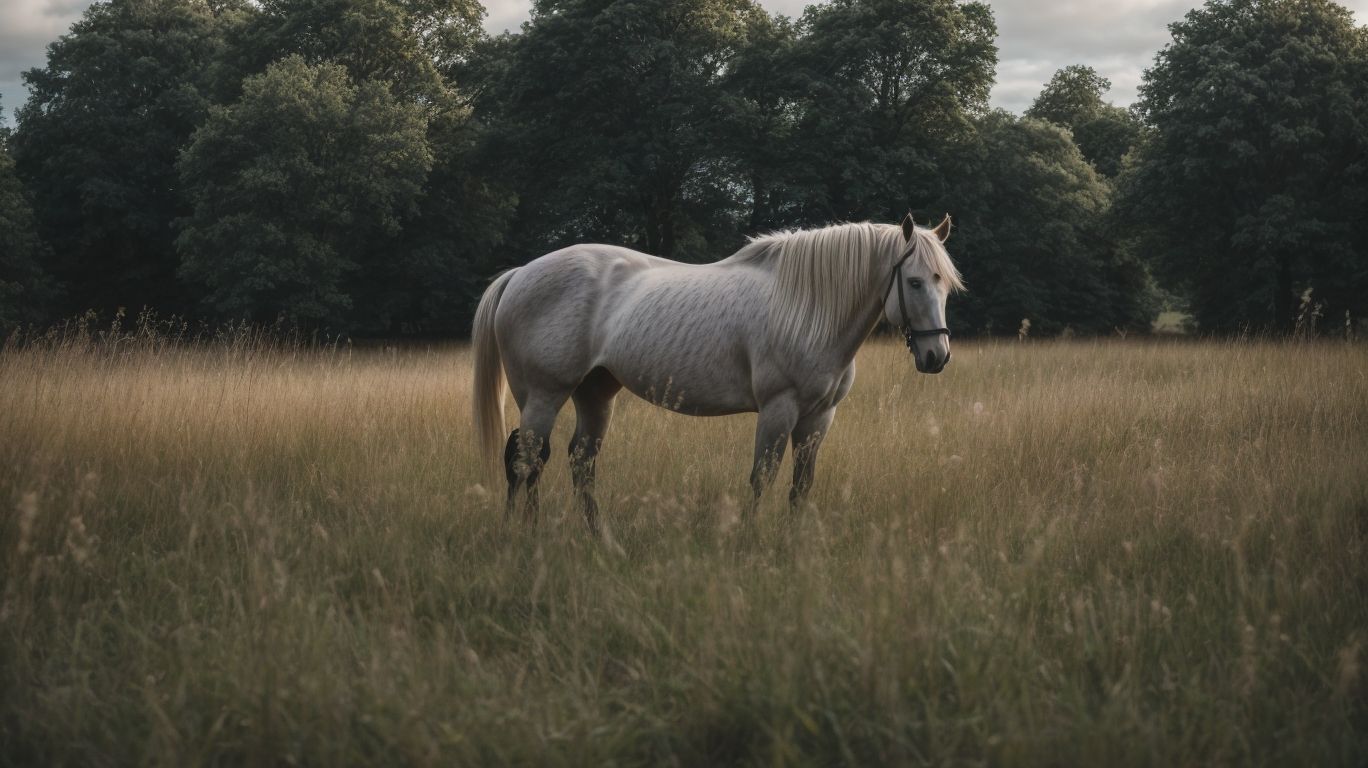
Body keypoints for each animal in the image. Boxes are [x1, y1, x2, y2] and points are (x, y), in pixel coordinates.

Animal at [471, 213, 962, 531]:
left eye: (945, 284)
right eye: (914, 281)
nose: (936, 356)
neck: (806, 307)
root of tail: (521, 274)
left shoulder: (819, 417)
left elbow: (801, 484)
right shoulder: (778, 410)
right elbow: (762, 477)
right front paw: (750, 542)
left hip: (595, 394)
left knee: (578, 461)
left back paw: (597, 537)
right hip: (543, 395)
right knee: (526, 460)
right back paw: (525, 535)